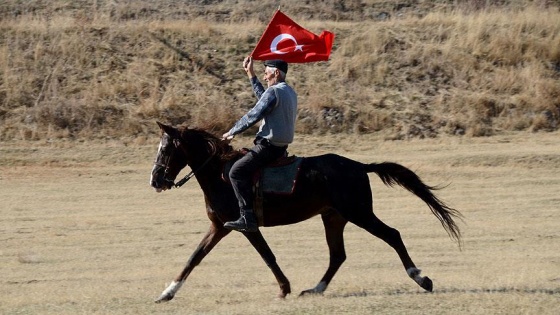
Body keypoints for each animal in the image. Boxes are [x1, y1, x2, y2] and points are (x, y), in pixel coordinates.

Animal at [150, 122, 464, 302]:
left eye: (166, 150)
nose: (155, 180)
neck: (220, 174)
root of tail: (360, 166)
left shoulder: (244, 226)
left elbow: (268, 257)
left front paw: (283, 288)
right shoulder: (219, 227)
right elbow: (194, 258)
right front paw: (167, 293)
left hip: (359, 213)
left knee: (393, 235)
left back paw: (421, 278)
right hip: (334, 217)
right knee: (338, 255)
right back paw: (316, 289)